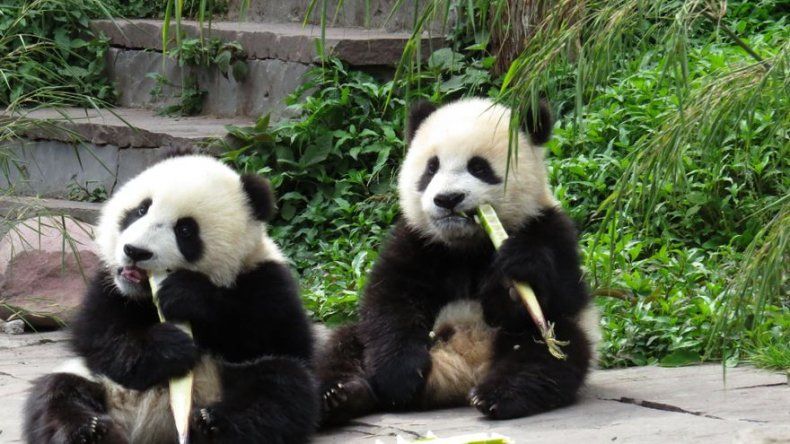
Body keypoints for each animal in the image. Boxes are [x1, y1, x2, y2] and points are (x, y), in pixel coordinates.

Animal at [23, 155, 318, 443]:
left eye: (185, 230)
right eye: (141, 210)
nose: (135, 251)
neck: (144, 295)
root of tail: (158, 429)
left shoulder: (266, 277)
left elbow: (280, 337)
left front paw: (186, 295)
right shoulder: (109, 286)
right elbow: (98, 333)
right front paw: (170, 346)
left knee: (279, 387)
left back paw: (212, 424)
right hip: (101, 382)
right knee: (57, 392)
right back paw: (90, 430)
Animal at [317, 97, 598, 425]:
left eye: (478, 167)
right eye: (431, 168)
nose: (448, 199)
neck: (468, 243)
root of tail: (460, 373)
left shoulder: (549, 226)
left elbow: (565, 295)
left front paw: (516, 273)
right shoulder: (417, 240)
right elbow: (390, 300)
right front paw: (399, 378)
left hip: (547, 340)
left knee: (548, 353)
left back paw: (496, 396)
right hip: (366, 341)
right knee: (344, 344)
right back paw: (341, 395)